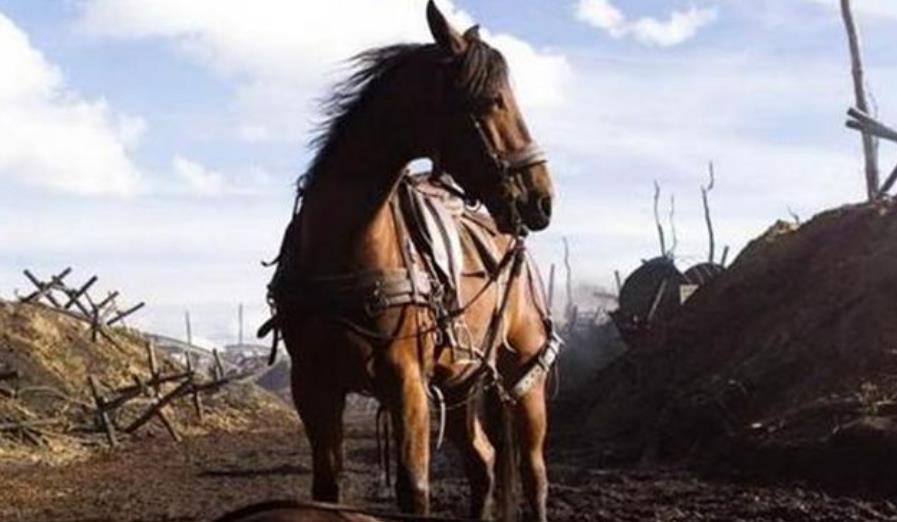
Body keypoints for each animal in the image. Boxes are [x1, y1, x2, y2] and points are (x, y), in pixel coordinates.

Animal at [263, 3, 557, 520]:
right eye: (492, 100)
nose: (541, 199)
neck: (341, 251)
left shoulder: (408, 385)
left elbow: (412, 490)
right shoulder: (313, 386)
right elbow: (325, 487)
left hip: (524, 377)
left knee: (533, 473)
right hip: (462, 383)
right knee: (483, 462)